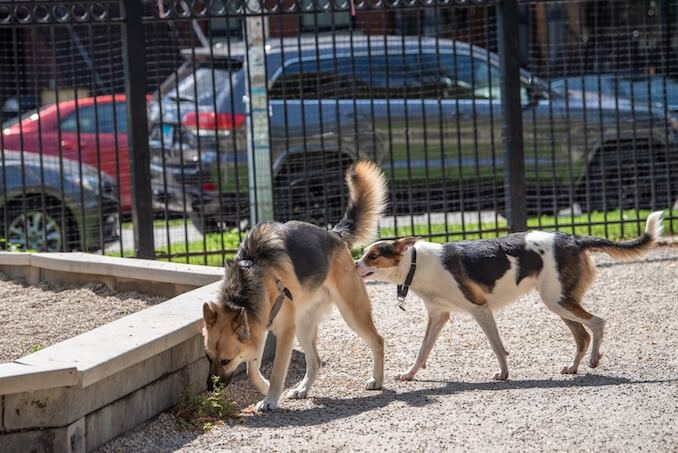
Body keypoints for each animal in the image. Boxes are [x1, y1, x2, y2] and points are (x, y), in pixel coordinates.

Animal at [202, 161, 388, 412]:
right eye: (208, 357)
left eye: (225, 360)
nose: (210, 390)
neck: (251, 276)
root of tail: (335, 234)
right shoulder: (259, 327)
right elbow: (251, 369)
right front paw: (264, 387)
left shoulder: (284, 332)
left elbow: (278, 370)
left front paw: (270, 398)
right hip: (304, 325)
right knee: (315, 360)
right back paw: (302, 389)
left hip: (351, 312)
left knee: (378, 341)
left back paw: (377, 379)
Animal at [358, 210, 668, 380]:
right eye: (363, 254)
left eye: (372, 256)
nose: (353, 265)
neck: (417, 263)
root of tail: (574, 238)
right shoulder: (439, 317)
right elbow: (422, 351)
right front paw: (410, 374)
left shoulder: (480, 308)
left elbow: (497, 347)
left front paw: (504, 374)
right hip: (559, 303)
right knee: (582, 335)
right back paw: (573, 367)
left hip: (558, 301)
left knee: (597, 323)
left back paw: (593, 360)